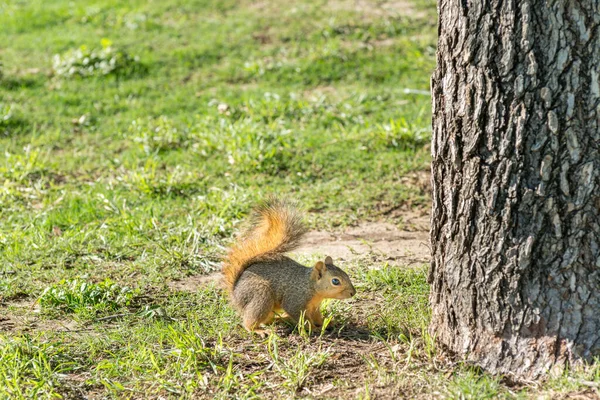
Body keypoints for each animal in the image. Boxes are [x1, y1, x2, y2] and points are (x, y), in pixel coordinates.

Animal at [221, 198, 356, 334]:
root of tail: (235, 293)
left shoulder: (314, 307)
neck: (310, 286)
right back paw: (258, 330)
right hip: (260, 296)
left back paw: (283, 319)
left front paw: (325, 322)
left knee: (268, 320)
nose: (353, 293)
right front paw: (313, 328)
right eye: (335, 281)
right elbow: (302, 318)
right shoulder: (295, 300)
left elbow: (317, 317)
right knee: (251, 321)